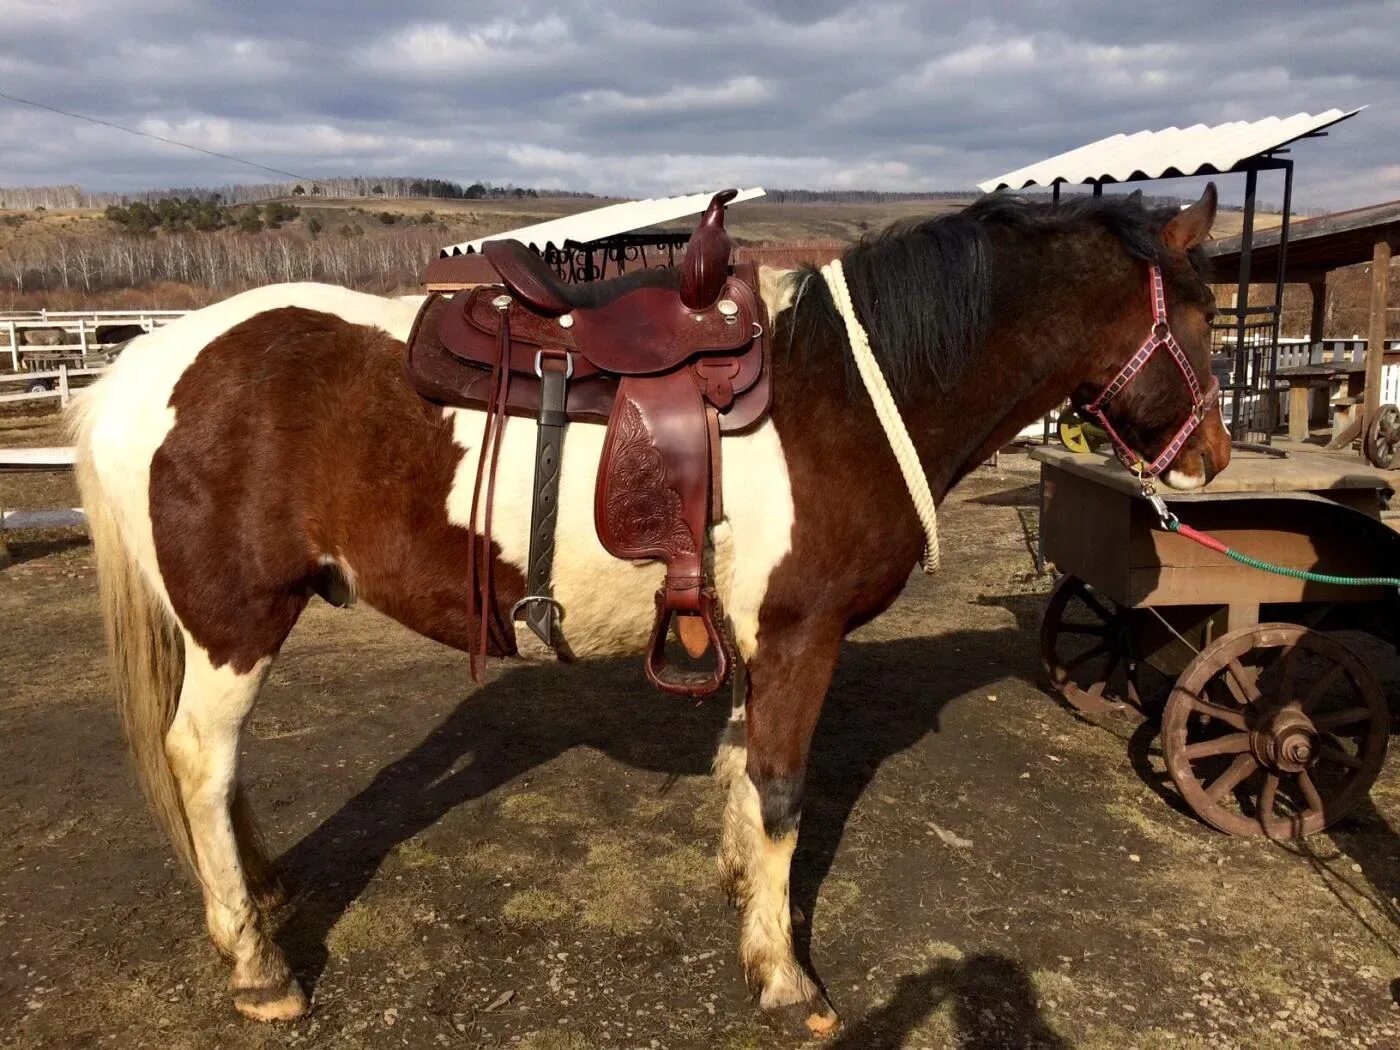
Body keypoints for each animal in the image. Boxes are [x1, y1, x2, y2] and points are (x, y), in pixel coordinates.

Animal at [73, 187, 1226, 1036]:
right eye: (1206, 317)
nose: (1210, 459)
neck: (848, 392)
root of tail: (137, 370)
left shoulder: (760, 639)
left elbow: (742, 771)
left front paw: (745, 902)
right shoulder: (803, 634)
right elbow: (781, 791)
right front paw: (785, 978)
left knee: (219, 772)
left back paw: (261, 900)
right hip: (237, 626)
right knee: (199, 760)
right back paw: (258, 966)